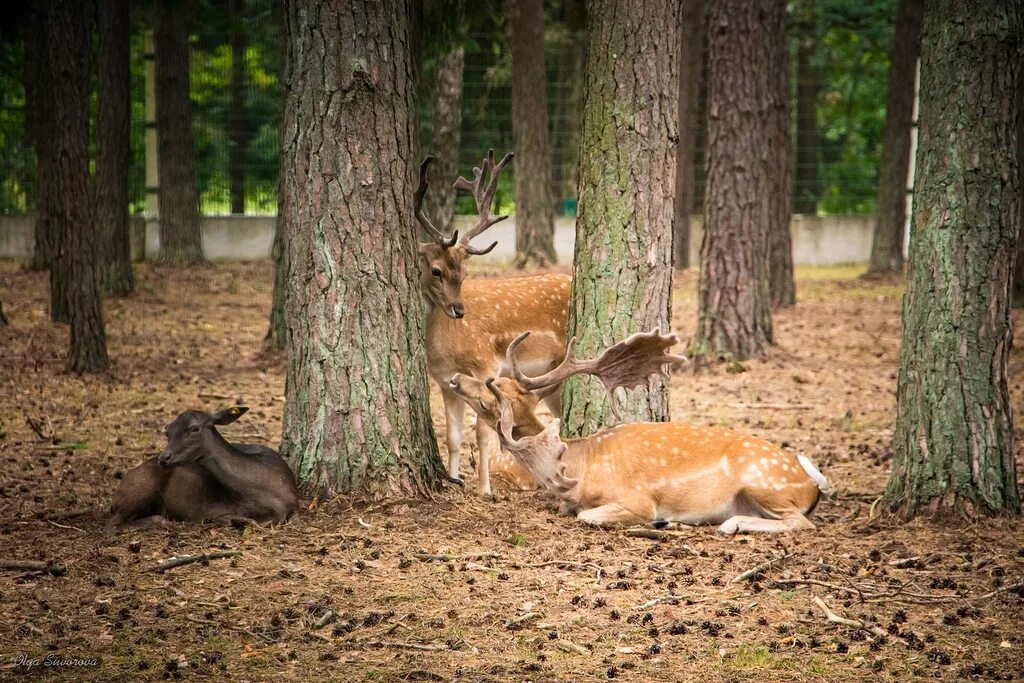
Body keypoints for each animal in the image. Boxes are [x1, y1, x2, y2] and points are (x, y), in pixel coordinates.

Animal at [108, 405, 299, 528]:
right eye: (167, 431)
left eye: (194, 428)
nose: (163, 459)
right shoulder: (214, 509)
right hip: (139, 490)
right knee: (112, 524)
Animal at [417, 150, 577, 497]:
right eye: (436, 270)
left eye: (464, 272)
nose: (458, 310)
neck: (446, 349)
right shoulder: (444, 381)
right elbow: (453, 438)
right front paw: (454, 479)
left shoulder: (485, 366)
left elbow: (483, 434)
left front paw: (485, 489)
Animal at [450, 331, 831, 532]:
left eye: (489, 395)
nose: (456, 378)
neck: (581, 467)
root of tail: (811, 482)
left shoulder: (636, 499)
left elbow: (588, 516)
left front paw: (659, 522)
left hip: (764, 482)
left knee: (802, 523)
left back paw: (728, 524)